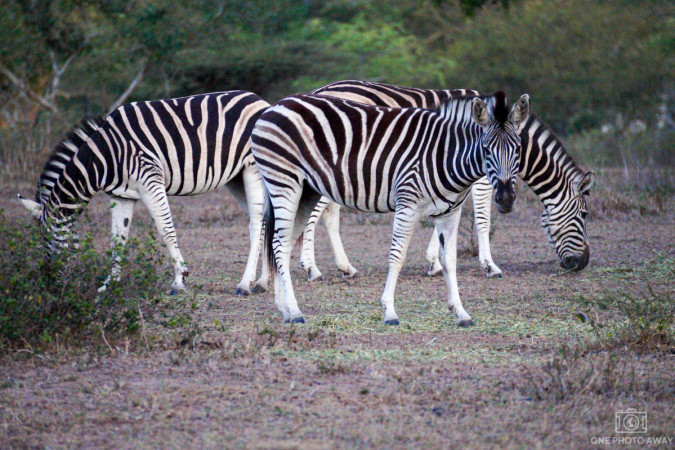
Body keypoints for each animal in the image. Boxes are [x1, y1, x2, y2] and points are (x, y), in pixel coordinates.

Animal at [18, 91, 271, 295]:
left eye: (46, 237)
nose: (49, 284)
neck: (103, 157)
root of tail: (260, 101)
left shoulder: (150, 180)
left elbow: (166, 230)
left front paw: (179, 281)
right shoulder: (122, 195)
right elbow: (117, 239)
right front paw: (109, 285)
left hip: (252, 170)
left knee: (257, 223)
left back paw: (245, 284)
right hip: (236, 178)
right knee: (267, 222)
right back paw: (262, 283)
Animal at [251, 91, 530, 326]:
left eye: (518, 149)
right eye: (486, 149)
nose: (506, 199)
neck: (445, 154)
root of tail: (275, 106)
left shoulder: (450, 213)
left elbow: (449, 260)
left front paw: (461, 312)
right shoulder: (407, 204)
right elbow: (397, 257)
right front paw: (390, 311)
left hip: (305, 192)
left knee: (283, 245)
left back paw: (285, 309)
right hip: (284, 183)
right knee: (279, 244)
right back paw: (295, 311)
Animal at [294, 80, 594, 282]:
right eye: (584, 215)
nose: (582, 263)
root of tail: (320, 90)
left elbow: (444, 217)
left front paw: (434, 262)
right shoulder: (482, 178)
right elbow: (482, 220)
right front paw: (490, 266)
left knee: (329, 212)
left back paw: (345, 267)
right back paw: (311, 268)